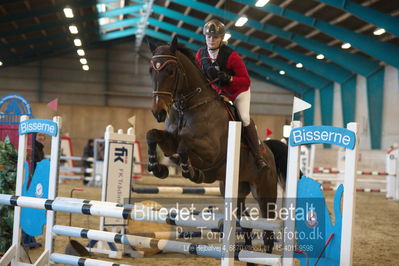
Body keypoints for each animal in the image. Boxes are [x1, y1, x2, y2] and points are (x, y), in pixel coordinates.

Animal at [145, 36, 290, 258]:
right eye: (151, 71)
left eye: (170, 71)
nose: (158, 112)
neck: (189, 106)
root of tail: (268, 150)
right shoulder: (170, 142)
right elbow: (152, 136)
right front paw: (157, 167)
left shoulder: (210, 151)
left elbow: (185, 147)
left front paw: (192, 172)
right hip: (235, 189)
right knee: (244, 220)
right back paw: (245, 250)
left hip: (264, 191)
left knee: (268, 225)